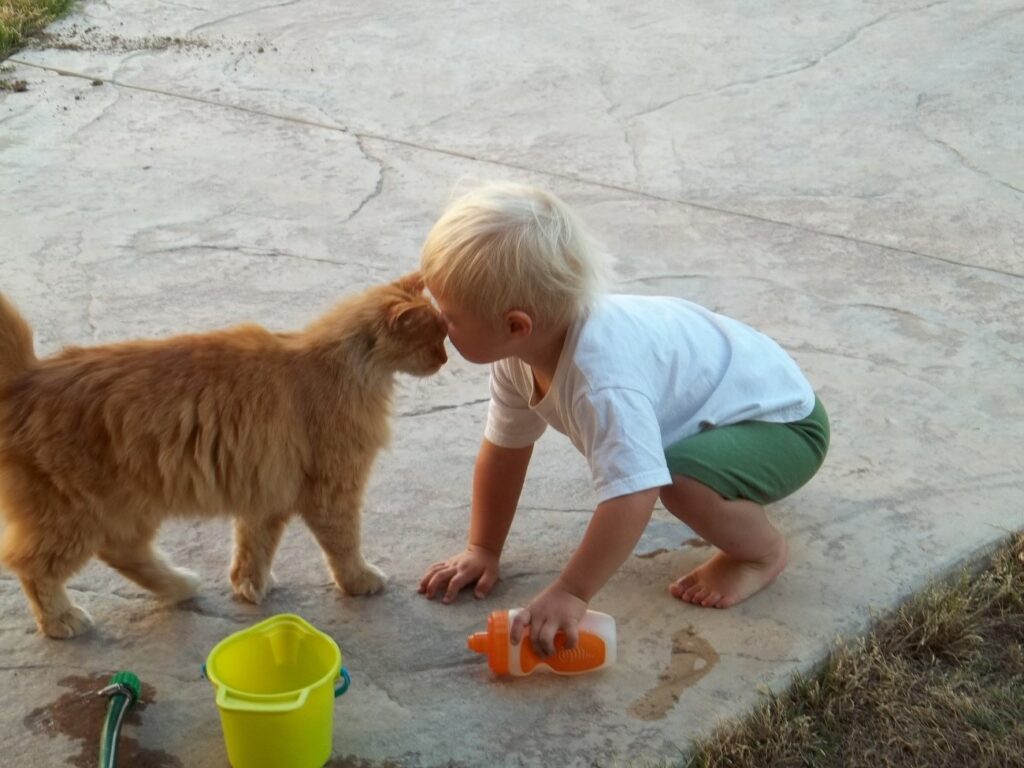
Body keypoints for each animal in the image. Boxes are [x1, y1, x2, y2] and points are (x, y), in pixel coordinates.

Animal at [1, 274, 448, 638]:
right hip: (79, 515)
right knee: (32, 565)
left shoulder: (267, 491)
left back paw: (180, 585)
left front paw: (250, 586)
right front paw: (359, 579)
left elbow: (254, 548)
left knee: (123, 553)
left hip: (125, 509)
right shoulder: (333, 489)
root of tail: (28, 376)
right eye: (434, 340)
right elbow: (344, 545)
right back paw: (63, 619)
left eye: (445, 336)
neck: (346, 365)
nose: (445, 359)